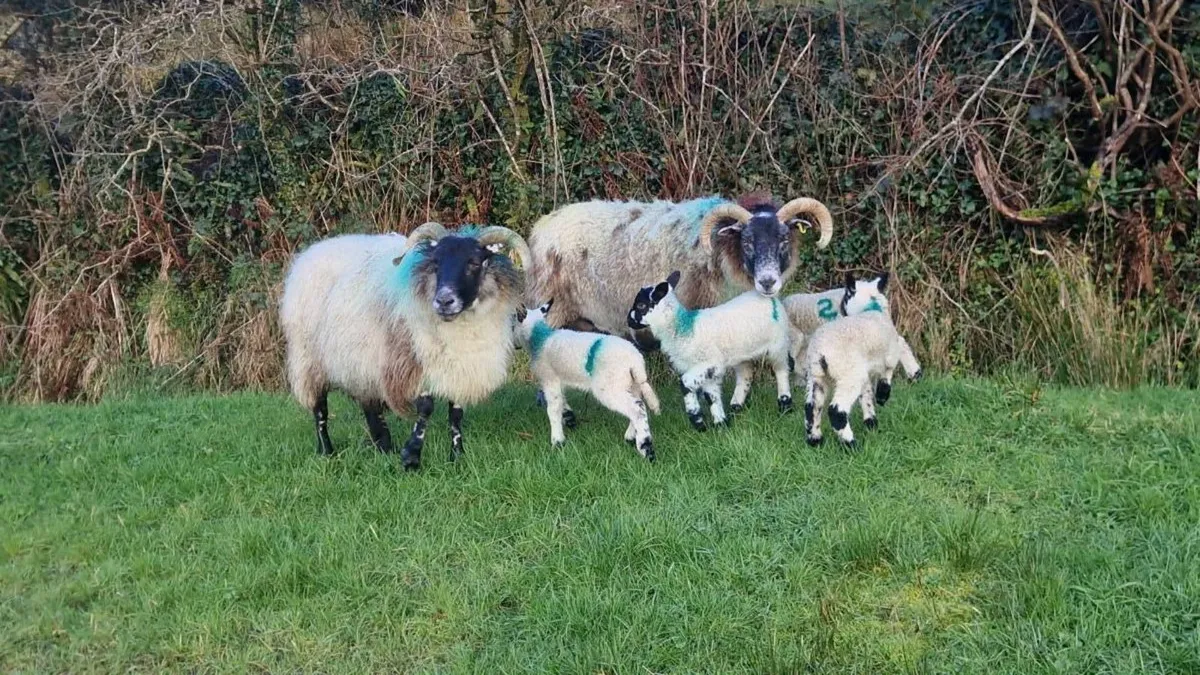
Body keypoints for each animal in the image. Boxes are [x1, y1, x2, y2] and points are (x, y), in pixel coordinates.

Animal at [279, 222, 531, 470]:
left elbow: (456, 414)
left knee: (369, 404)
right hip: (309, 359)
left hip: (362, 360)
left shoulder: (460, 367)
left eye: (475, 263)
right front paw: (412, 457)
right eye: (435, 263)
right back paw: (327, 451)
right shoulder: (413, 360)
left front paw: (457, 456)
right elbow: (425, 408)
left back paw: (383, 446)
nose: (444, 301)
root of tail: (315, 250)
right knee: (320, 408)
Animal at [513, 300, 662, 460]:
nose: (514, 345)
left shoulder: (550, 379)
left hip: (610, 387)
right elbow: (562, 401)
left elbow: (553, 409)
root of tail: (635, 362)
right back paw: (630, 436)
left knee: (637, 410)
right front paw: (569, 418)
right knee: (639, 404)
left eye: (513, 325)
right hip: (631, 384)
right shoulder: (559, 380)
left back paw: (646, 448)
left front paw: (557, 441)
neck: (539, 336)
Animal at [527, 193, 834, 349]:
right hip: (551, 308)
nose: (768, 282)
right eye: (746, 242)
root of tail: (542, 228)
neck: (723, 255)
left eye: (784, 240)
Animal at [627, 270, 793, 431]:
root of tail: (771, 298)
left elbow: (685, 384)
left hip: (778, 344)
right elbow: (711, 396)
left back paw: (785, 405)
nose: (628, 320)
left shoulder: (709, 363)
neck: (683, 327)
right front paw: (720, 424)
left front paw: (697, 420)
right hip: (742, 353)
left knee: (782, 370)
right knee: (745, 375)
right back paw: (735, 407)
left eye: (641, 305)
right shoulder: (708, 369)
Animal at [800, 275, 923, 450]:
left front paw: (871, 421)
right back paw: (851, 445)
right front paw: (887, 392)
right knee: (836, 411)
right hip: (849, 374)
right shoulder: (889, 353)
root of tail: (819, 352)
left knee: (812, 407)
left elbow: (866, 395)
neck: (871, 309)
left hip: (817, 377)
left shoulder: (865, 368)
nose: (841, 308)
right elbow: (896, 356)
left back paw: (815, 440)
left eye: (846, 295)